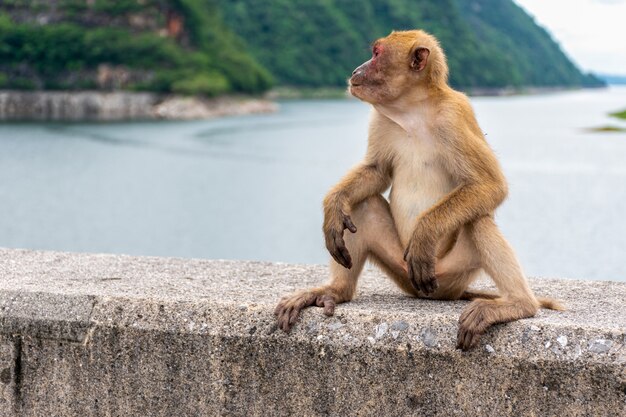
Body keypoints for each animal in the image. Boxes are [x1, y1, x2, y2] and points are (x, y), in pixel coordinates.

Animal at [272, 29, 560, 350]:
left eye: (376, 54)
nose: (356, 70)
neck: (412, 110)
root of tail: (443, 294)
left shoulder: (455, 115)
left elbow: (489, 184)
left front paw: (424, 233)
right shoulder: (381, 119)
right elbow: (376, 171)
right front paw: (334, 205)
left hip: (448, 273)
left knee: (478, 219)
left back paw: (518, 304)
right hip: (400, 267)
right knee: (363, 204)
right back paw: (335, 290)